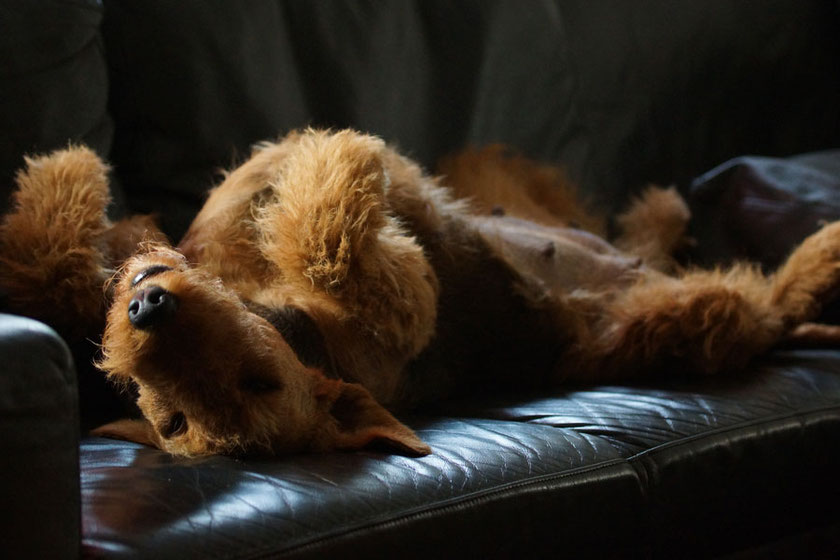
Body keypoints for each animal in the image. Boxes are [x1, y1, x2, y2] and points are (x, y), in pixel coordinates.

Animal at [1, 131, 840, 460]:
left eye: (259, 381)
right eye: (175, 419)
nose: (147, 309)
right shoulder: (400, 297)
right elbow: (328, 231)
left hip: (524, 195)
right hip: (688, 319)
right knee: (764, 297)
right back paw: (818, 254)